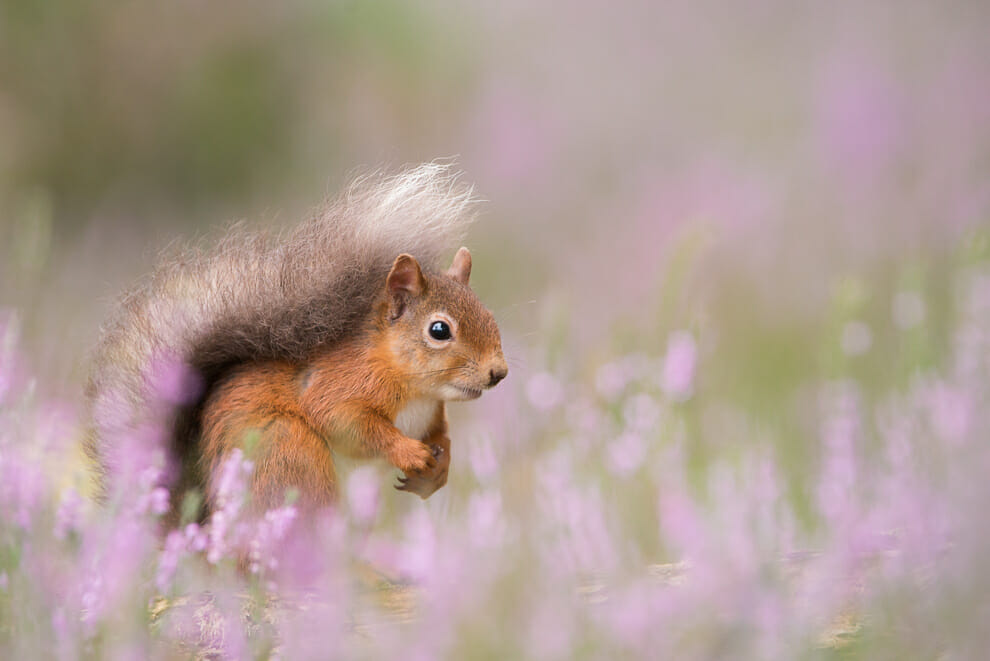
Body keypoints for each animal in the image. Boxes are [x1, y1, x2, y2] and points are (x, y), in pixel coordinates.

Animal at [82, 162, 508, 524]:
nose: (498, 373)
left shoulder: (433, 414)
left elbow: (442, 437)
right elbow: (347, 421)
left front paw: (438, 470)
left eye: (489, 315)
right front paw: (410, 452)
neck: (417, 389)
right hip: (290, 452)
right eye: (439, 330)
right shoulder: (337, 384)